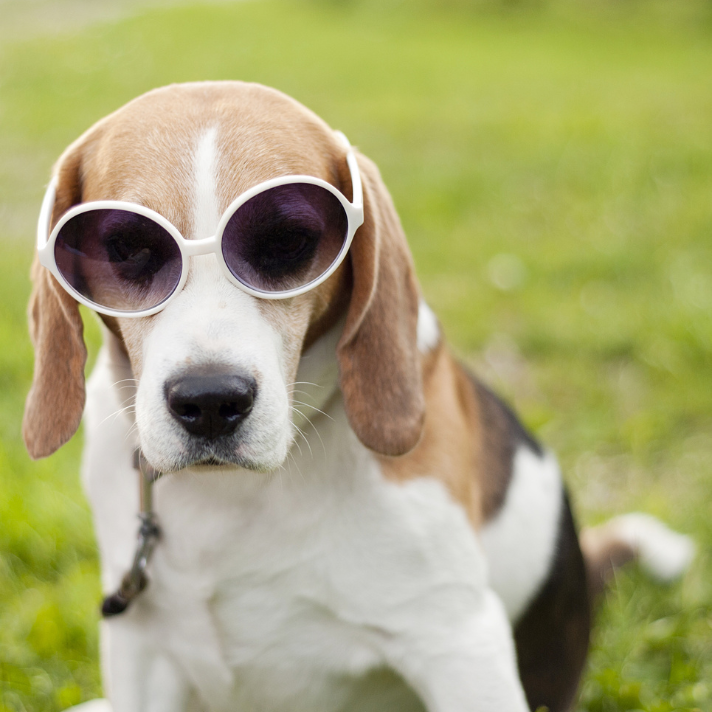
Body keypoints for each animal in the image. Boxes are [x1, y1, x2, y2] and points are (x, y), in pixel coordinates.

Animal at [25, 82, 692, 712]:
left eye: (287, 240)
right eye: (128, 247)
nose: (210, 401)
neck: (236, 498)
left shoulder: (459, 643)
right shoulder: (141, 650)